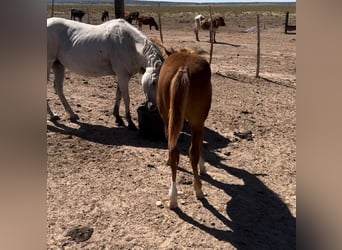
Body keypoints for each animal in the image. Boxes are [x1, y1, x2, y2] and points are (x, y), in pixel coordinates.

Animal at [157, 49, 211, 209]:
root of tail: (183, 69)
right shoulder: (200, 122)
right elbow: (200, 143)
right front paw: (202, 166)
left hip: (167, 116)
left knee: (173, 149)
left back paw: (173, 197)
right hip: (195, 121)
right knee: (192, 152)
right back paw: (198, 190)